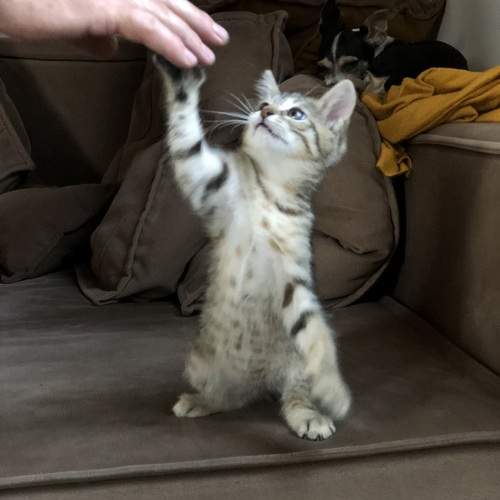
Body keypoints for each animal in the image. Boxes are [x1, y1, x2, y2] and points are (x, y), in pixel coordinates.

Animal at [154, 56, 356, 441]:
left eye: (296, 113)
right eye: (264, 103)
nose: (263, 112)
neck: (270, 190)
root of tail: (261, 381)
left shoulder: (293, 270)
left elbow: (314, 331)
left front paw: (333, 387)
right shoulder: (209, 182)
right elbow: (187, 140)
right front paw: (182, 78)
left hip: (294, 366)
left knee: (293, 394)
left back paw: (308, 414)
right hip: (202, 363)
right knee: (229, 397)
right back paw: (201, 401)